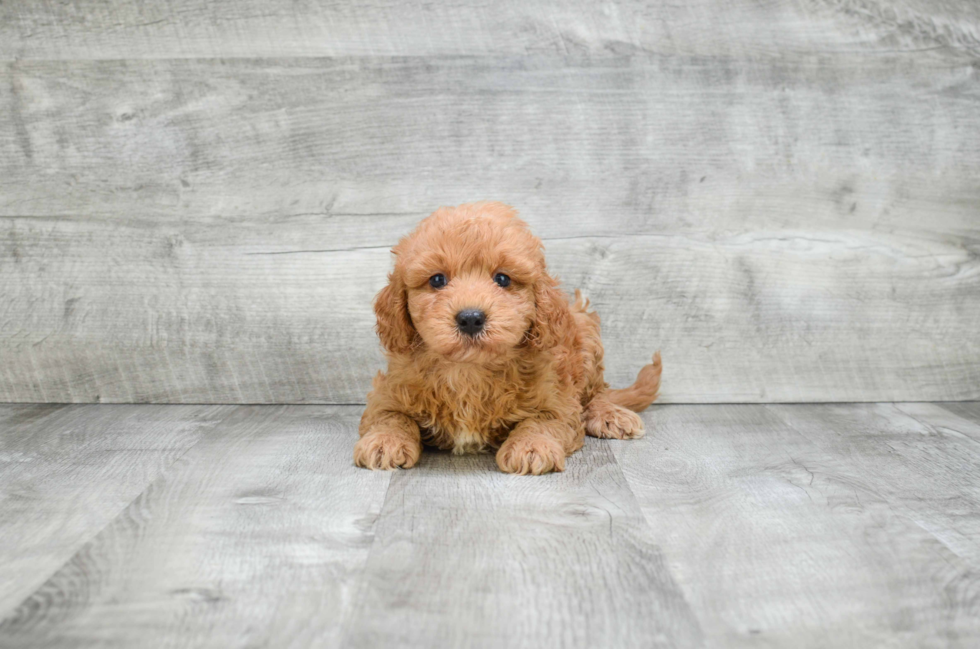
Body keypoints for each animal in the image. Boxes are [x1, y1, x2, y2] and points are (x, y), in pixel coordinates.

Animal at [352, 202, 660, 476]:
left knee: (596, 393)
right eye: (437, 280)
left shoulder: (558, 399)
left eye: (502, 279)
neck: (469, 371)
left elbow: (542, 420)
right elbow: (391, 416)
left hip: (586, 335)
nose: (470, 318)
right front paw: (383, 441)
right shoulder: (387, 392)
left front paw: (532, 446)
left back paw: (610, 414)